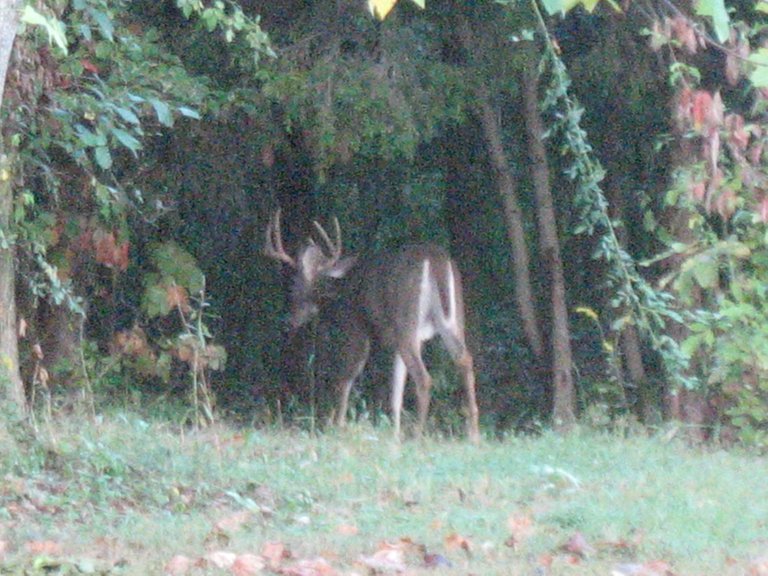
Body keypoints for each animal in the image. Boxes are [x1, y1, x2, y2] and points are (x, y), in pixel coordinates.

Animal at [264, 209, 480, 444]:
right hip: (453, 320)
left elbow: (347, 375)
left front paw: (338, 425)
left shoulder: (357, 327)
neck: (341, 291)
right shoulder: (402, 342)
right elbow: (396, 391)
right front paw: (394, 435)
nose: (287, 321)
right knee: (465, 360)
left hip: (406, 321)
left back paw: (417, 435)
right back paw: (473, 434)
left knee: (424, 378)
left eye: (293, 286)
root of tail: (435, 260)